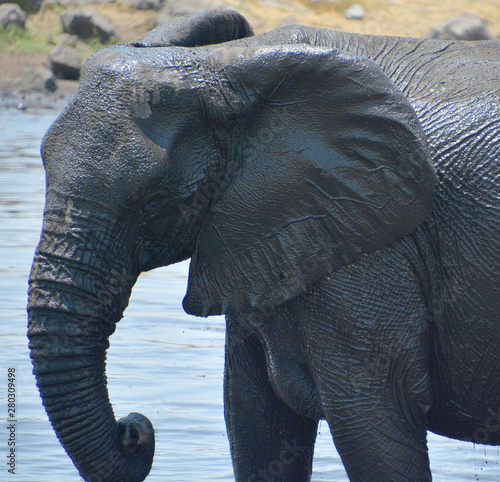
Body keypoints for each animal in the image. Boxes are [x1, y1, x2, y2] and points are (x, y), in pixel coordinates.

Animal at [28, 8, 500, 482]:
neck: (226, 65)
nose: (134, 429)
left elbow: (376, 419)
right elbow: (253, 420)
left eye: (155, 200)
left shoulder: (373, 249)